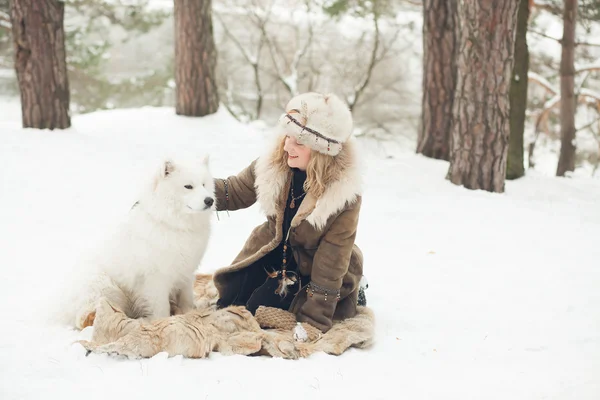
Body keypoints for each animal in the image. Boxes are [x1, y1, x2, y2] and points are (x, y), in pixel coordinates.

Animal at [61, 155, 214, 330]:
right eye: (188, 186)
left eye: (204, 184)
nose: (209, 200)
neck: (172, 224)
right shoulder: (156, 278)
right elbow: (161, 307)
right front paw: (162, 321)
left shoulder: (186, 271)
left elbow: (186, 298)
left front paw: (189, 313)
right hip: (107, 286)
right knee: (86, 318)